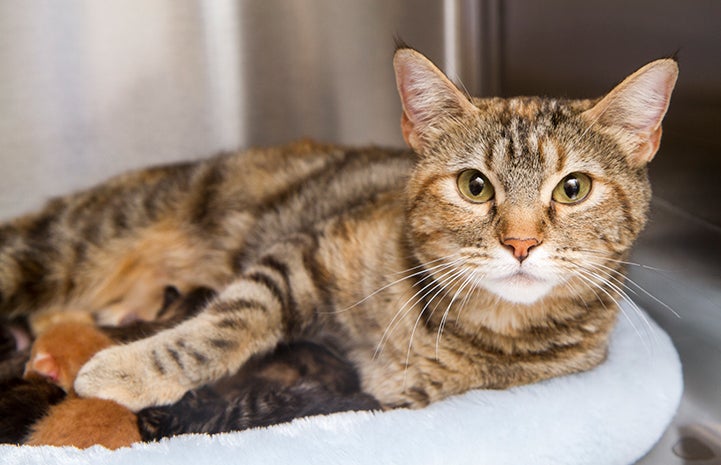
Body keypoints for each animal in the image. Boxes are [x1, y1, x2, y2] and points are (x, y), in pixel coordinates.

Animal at [0, 47, 676, 410]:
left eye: (573, 188)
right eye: (475, 186)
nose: (520, 242)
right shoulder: (302, 255)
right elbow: (222, 325)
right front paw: (131, 372)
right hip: (59, 247)